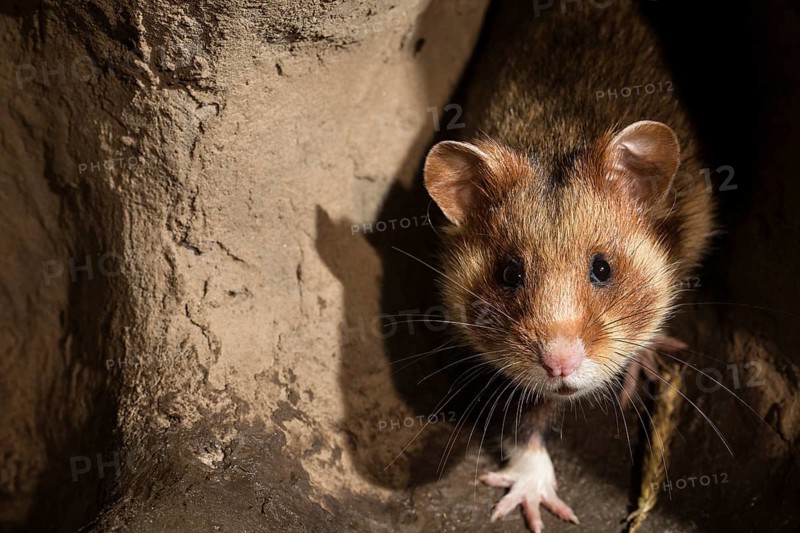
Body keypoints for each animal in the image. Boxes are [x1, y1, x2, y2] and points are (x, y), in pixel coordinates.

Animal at [422, 3, 713, 531]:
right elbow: (526, 421)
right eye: (509, 274)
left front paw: (643, 368)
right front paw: (532, 505)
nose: (560, 365)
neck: (557, 135)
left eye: (603, 270)